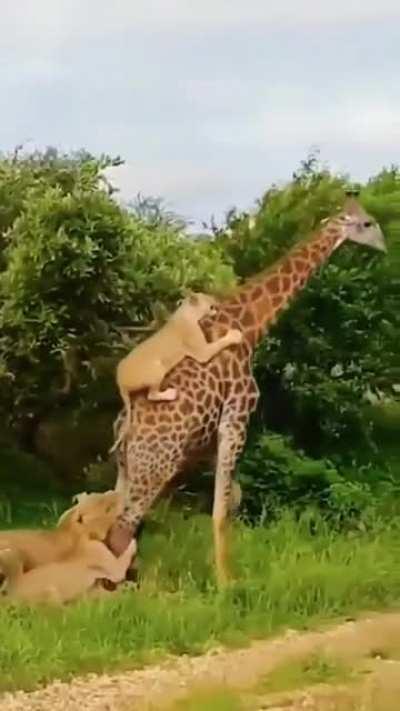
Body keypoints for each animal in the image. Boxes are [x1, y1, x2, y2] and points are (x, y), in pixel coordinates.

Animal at [108, 196, 386, 586]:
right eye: (366, 224)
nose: (386, 246)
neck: (252, 325)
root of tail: (124, 428)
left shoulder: (211, 439)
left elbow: (232, 499)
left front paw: (227, 574)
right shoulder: (238, 414)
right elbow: (221, 508)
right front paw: (227, 583)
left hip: (126, 467)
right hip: (156, 468)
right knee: (123, 525)